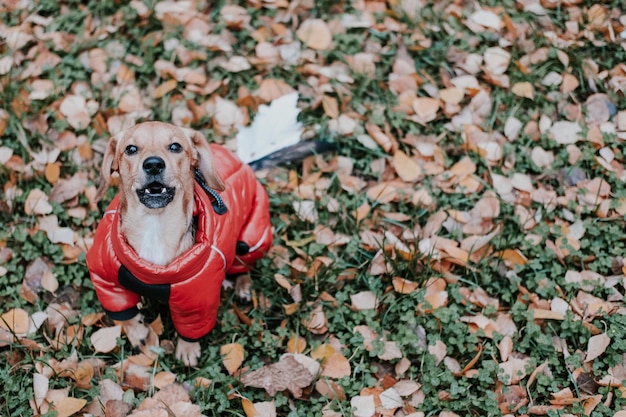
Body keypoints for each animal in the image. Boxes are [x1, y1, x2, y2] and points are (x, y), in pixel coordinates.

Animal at [86, 120, 272, 364]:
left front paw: (187, 349)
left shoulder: (198, 302)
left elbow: (190, 329)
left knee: (243, 265)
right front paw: (139, 334)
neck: (154, 227)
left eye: (175, 147)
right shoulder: (105, 277)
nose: (153, 164)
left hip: (252, 238)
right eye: (131, 149)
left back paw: (243, 285)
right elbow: (126, 314)